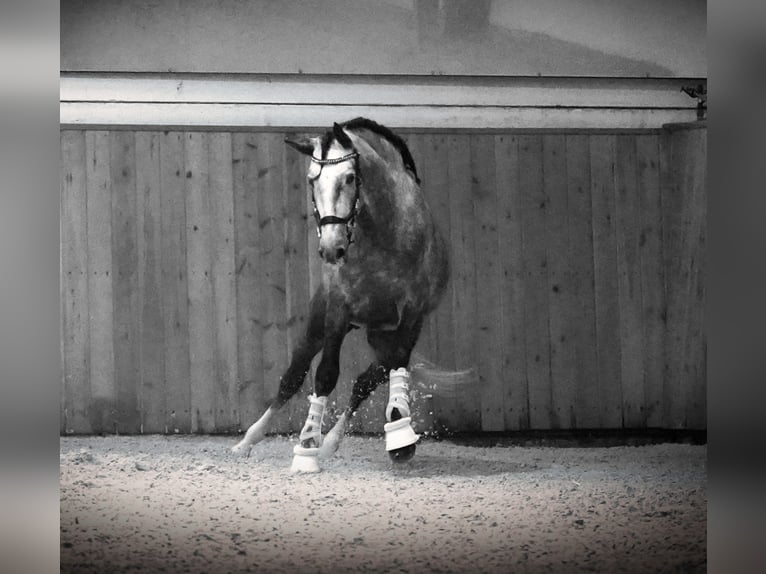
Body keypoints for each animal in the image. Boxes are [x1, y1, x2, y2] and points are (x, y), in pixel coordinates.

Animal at [232, 117, 450, 472]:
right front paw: (307, 445)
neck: (382, 234)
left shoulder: (411, 314)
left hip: (384, 334)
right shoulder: (338, 309)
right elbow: (324, 375)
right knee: (292, 377)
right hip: (318, 325)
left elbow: (394, 368)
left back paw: (332, 443)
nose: (331, 249)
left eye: (349, 177)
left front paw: (400, 432)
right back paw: (248, 441)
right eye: (311, 180)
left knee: (368, 380)